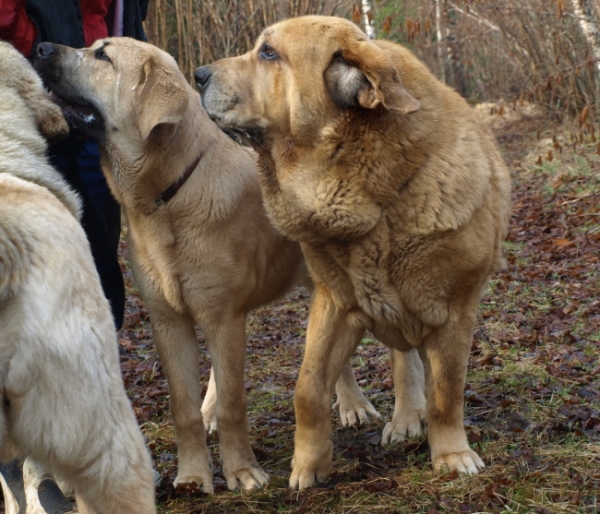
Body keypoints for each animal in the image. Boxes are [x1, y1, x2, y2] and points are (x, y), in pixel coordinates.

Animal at [31, 36, 398, 492]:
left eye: (103, 55)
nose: (40, 47)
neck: (171, 196)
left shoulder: (224, 317)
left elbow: (234, 403)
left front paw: (241, 471)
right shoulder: (169, 320)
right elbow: (183, 406)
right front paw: (193, 474)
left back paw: (360, 407)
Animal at [196, 16, 510, 488]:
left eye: (268, 52)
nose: (197, 75)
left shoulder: (454, 311)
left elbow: (446, 392)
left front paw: (452, 454)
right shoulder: (336, 302)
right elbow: (307, 388)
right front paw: (309, 465)